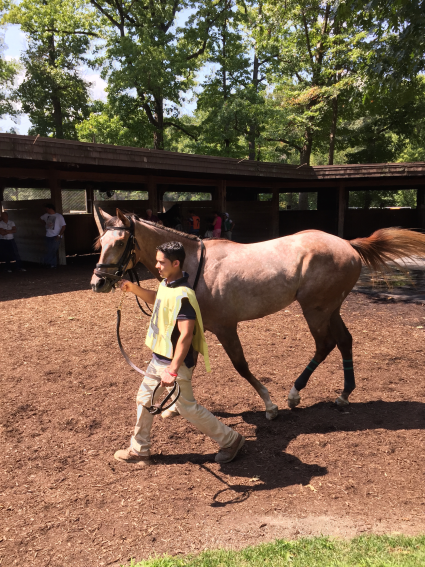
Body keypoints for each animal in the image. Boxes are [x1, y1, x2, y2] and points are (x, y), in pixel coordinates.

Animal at [89, 206, 424, 420]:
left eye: (121, 241)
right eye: (101, 241)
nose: (98, 282)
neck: (194, 266)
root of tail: (347, 244)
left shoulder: (225, 327)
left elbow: (241, 365)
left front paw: (269, 404)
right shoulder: (194, 325)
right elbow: (187, 364)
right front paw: (172, 406)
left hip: (315, 310)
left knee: (325, 344)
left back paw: (294, 393)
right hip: (331, 308)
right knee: (344, 341)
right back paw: (343, 395)